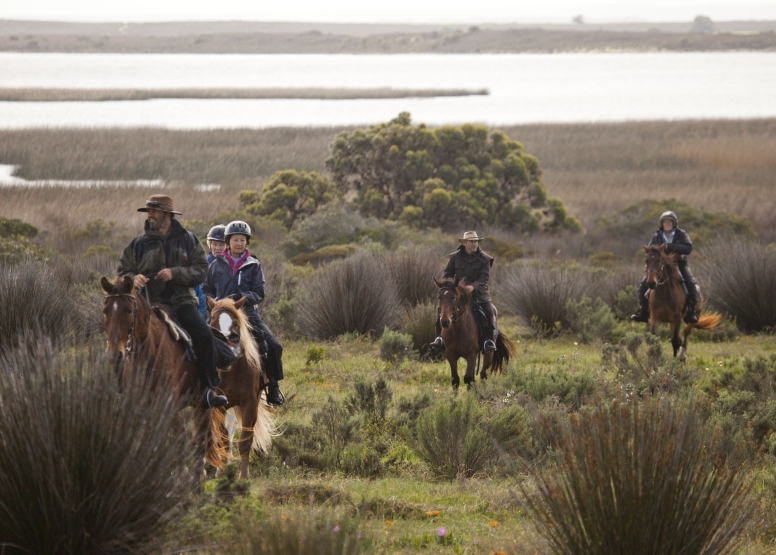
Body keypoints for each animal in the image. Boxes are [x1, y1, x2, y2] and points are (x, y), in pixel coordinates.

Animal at [101, 276, 227, 478]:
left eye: (129, 310)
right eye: (105, 310)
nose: (115, 355)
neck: (148, 353)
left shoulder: (169, 406)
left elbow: (180, 440)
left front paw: (184, 476)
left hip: (203, 404)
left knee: (200, 440)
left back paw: (197, 477)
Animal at [206, 298, 276, 480]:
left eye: (236, 324)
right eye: (212, 323)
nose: (226, 354)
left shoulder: (249, 403)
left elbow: (245, 441)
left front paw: (244, 476)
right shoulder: (220, 406)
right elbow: (223, 439)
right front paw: (222, 472)